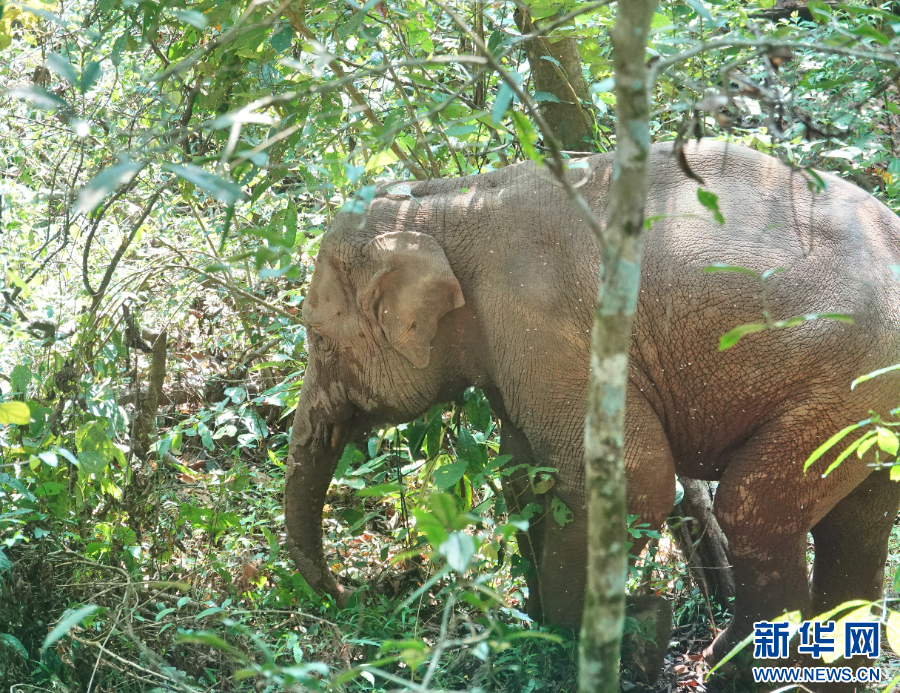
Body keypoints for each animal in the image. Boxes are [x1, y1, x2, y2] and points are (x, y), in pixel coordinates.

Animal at [283, 139, 900, 671]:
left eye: (320, 340)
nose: (351, 594)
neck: (449, 203)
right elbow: (523, 474)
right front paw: (548, 624)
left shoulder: (544, 323)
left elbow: (633, 478)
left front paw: (582, 635)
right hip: (871, 402)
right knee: (860, 520)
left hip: (844, 380)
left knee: (756, 508)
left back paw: (737, 668)